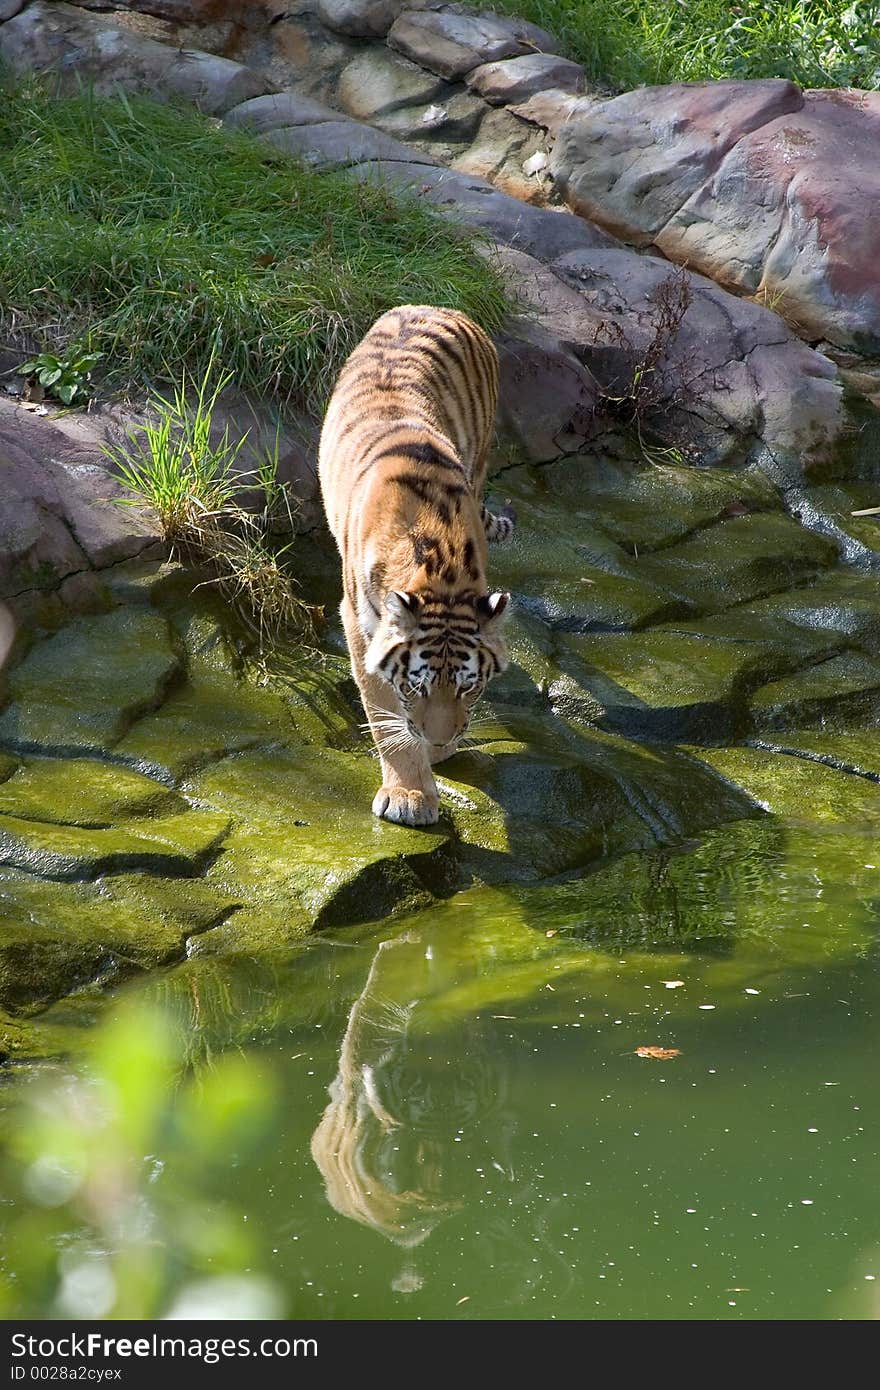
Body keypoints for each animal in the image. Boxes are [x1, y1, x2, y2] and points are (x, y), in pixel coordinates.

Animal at [315, 304, 511, 822]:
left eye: (467, 687)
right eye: (417, 686)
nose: (440, 741)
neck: (441, 569)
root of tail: (438, 306)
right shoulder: (358, 621)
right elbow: (383, 709)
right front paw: (410, 795)